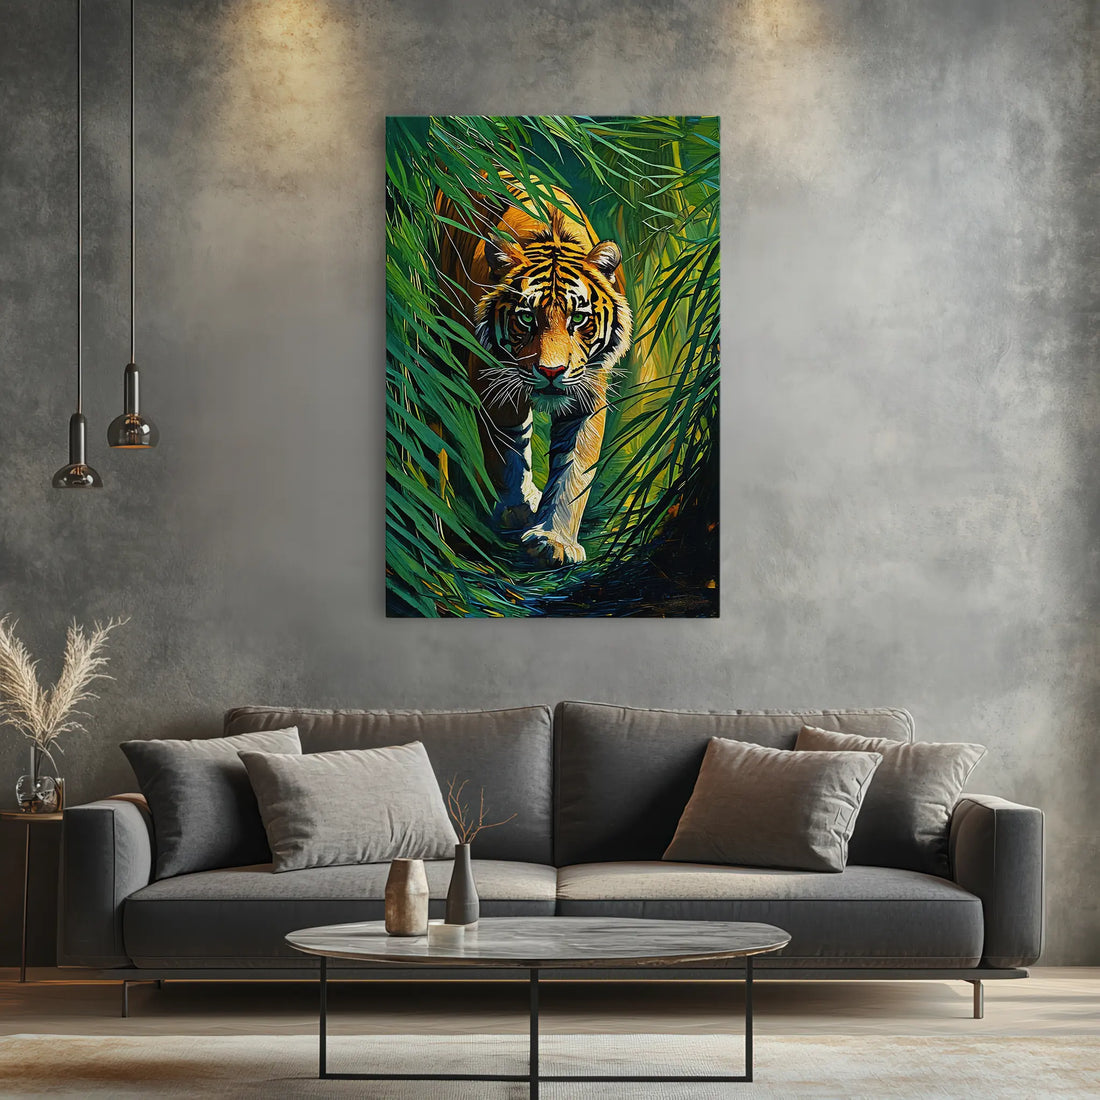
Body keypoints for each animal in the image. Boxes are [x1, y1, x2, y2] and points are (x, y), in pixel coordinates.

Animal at [434, 172, 632, 568]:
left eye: (579, 319)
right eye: (526, 318)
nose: (551, 371)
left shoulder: (587, 394)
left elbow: (574, 471)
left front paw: (554, 540)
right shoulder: (493, 382)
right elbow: (506, 452)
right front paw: (518, 510)